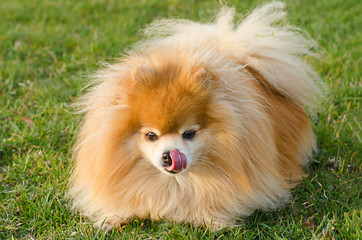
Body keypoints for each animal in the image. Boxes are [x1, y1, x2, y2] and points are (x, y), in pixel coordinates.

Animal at [68, 1, 326, 231]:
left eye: (189, 133)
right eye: (151, 136)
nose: (169, 156)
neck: (175, 185)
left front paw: (215, 221)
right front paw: (110, 219)